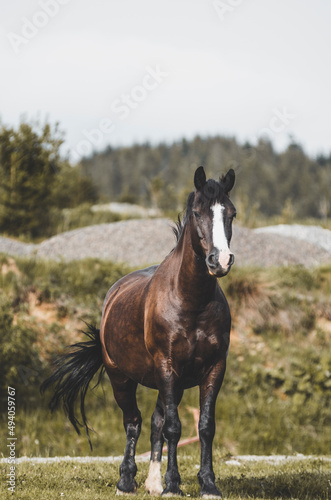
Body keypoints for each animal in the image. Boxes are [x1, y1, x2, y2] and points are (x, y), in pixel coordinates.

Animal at [41, 167, 236, 496]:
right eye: (198, 213)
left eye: (231, 214)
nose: (219, 260)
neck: (191, 301)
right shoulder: (166, 366)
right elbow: (173, 427)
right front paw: (173, 485)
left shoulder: (213, 368)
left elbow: (204, 427)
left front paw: (207, 484)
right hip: (122, 378)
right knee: (134, 421)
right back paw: (127, 480)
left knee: (156, 422)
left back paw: (153, 482)